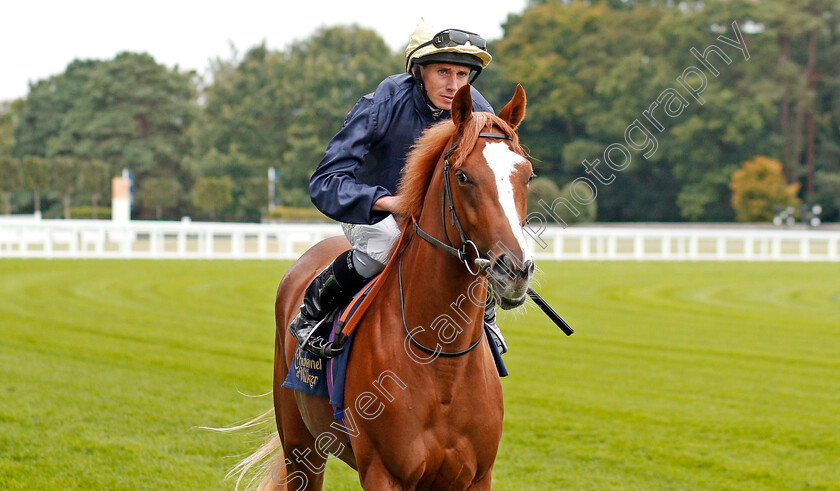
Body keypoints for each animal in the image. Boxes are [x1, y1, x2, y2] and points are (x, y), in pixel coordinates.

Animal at [240, 82, 536, 490]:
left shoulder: (475, 477)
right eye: (463, 176)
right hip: (301, 444)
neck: (441, 361)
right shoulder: (384, 472)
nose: (516, 269)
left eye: (527, 176)